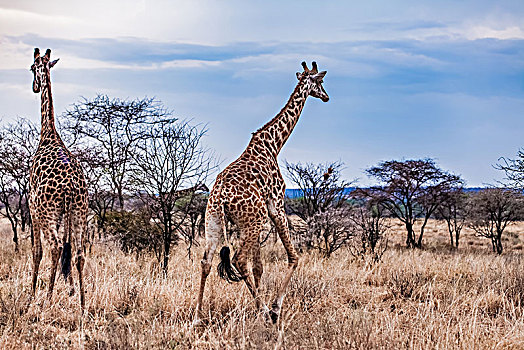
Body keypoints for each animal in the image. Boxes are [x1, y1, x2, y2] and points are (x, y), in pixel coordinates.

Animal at [194, 60, 330, 326]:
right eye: (320, 81)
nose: (327, 97)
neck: (273, 144)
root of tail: (221, 198)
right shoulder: (275, 204)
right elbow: (293, 257)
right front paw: (274, 309)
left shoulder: (261, 215)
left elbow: (259, 267)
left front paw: (262, 308)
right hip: (251, 222)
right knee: (238, 260)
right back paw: (266, 311)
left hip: (213, 219)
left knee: (206, 261)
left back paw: (197, 316)